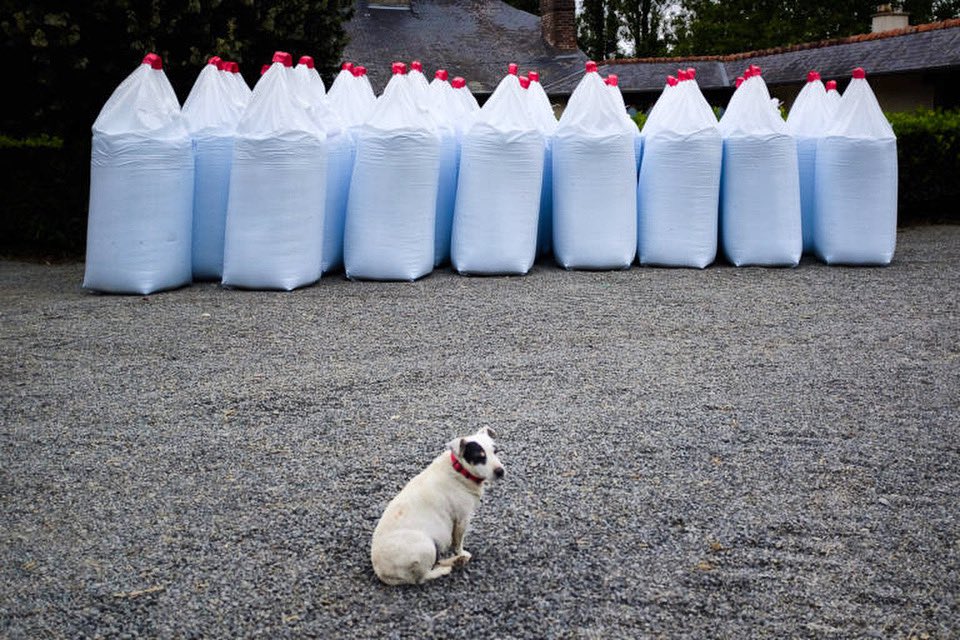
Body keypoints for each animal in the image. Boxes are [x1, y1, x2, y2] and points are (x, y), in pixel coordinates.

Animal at [370, 430, 506, 584]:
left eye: (495, 451)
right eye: (479, 457)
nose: (501, 471)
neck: (460, 470)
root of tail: (381, 572)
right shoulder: (462, 519)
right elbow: (458, 543)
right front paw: (460, 552)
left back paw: (455, 561)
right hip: (426, 546)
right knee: (422, 576)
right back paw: (449, 566)